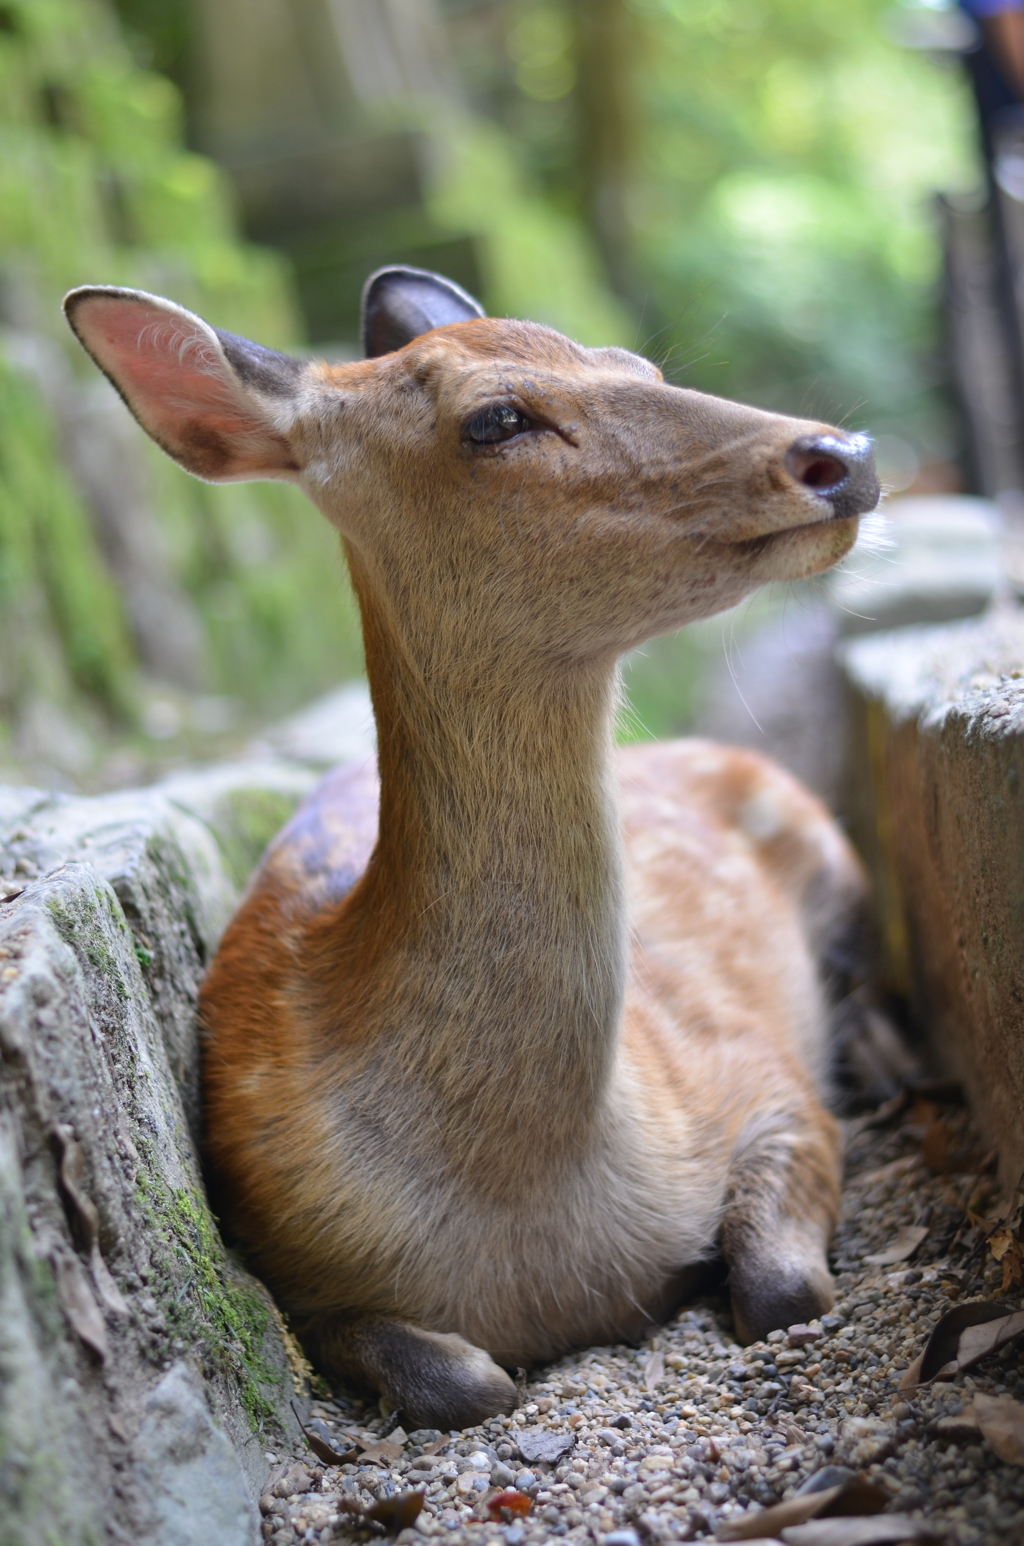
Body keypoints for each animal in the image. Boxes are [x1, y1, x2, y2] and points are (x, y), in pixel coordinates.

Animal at [64, 269, 884, 1434]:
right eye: (496, 419)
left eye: (637, 364)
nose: (841, 454)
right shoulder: (287, 1248)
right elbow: (467, 1381)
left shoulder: (759, 1070)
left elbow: (786, 1285)